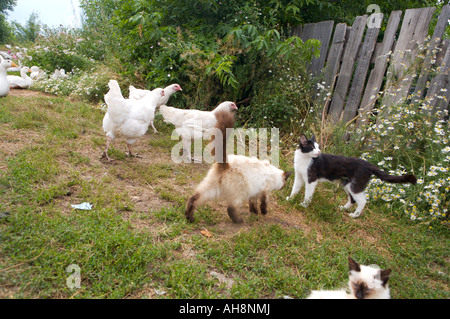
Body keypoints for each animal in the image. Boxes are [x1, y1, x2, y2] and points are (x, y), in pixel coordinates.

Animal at [286, 134, 416, 219]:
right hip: (348, 184)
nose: (319, 152)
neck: (304, 158)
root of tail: (368, 164)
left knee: (362, 201)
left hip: (355, 185)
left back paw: (354, 215)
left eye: (318, 148)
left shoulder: (311, 179)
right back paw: (343, 208)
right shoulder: (298, 176)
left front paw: (304, 205)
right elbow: (295, 188)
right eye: (313, 147)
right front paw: (290, 199)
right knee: (353, 199)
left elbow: (308, 194)